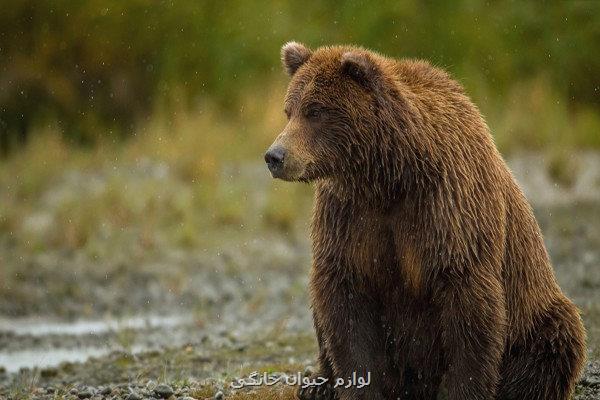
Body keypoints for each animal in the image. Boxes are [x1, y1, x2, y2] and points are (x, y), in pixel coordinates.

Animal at [264, 42, 584, 398]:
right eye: (289, 110)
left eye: (315, 111)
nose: (275, 156)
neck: (389, 176)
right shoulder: (349, 217)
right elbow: (345, 300)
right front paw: (358, 387)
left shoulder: (448, 208)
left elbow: (467, 304)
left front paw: (461, 390)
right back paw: (317, 385)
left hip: (535, 314)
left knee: (553, 342)